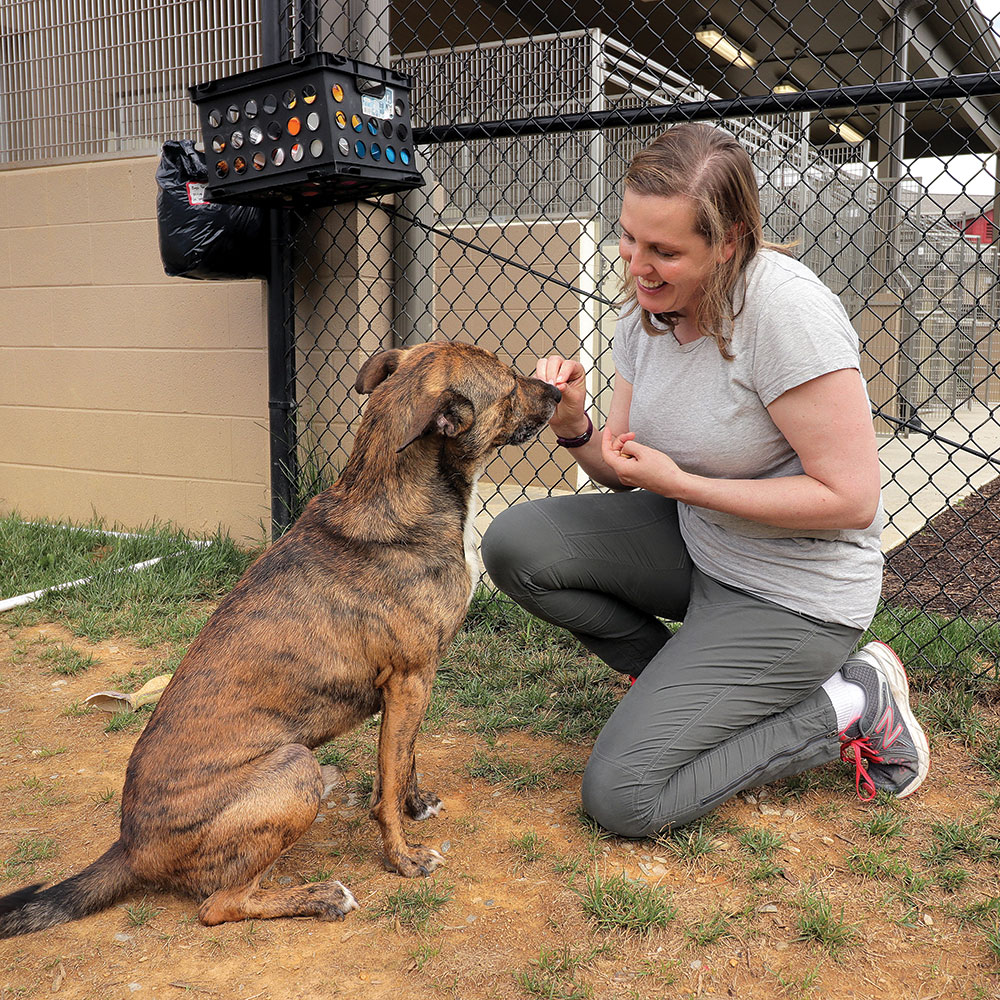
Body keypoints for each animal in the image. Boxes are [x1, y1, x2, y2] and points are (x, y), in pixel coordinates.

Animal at [0, 344, 564, 936]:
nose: (559, 392)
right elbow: (387, 784)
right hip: (296, 768)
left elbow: (404, 761)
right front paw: (402, 858)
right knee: (218, 905)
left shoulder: (414, 685)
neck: (396, 499)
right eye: (509, 384)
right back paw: (321, 897)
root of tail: (130, 848)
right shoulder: (410, 680)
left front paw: (416, 806)